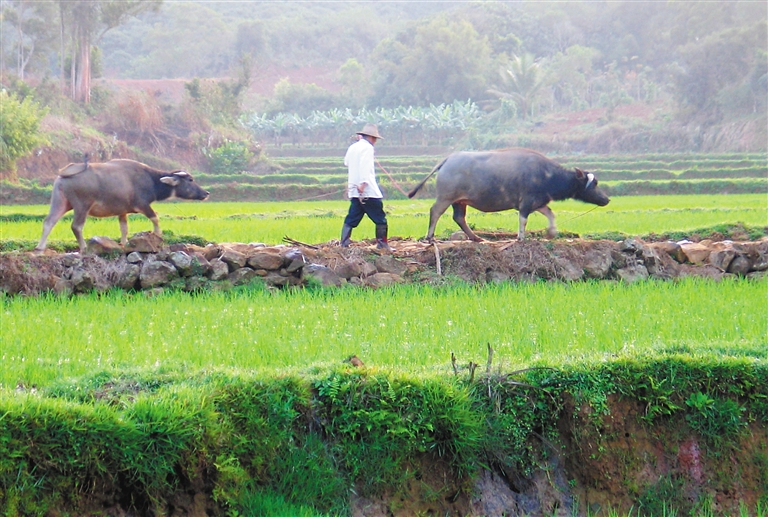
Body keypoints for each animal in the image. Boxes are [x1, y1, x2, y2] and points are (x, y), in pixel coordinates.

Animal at [35, 158, 208, 253]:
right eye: (190, 180)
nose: (206, 193)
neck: (151, 180)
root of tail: (66, 173)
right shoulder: (142, 205)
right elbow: (155, 218)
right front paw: (158, 235)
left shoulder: (122, 211)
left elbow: (124, 228)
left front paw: (123, 244)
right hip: (82, 206)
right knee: (76, 226)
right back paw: (83, 248)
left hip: (60, 201)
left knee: (49, 222)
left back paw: (39, 248)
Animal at [404, 147, 608, 240]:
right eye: (594, 184)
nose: (606, 199)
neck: (547, 175)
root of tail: (447, 160)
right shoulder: (526, 203)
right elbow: (523, 220)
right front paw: (521, 237)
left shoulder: (538, 202)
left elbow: (550, 214)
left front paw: (551, 233)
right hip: (446, 197)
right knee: (435, 211)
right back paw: (429, 237)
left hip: (460, 201)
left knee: (459, 217)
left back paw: (476, 238)